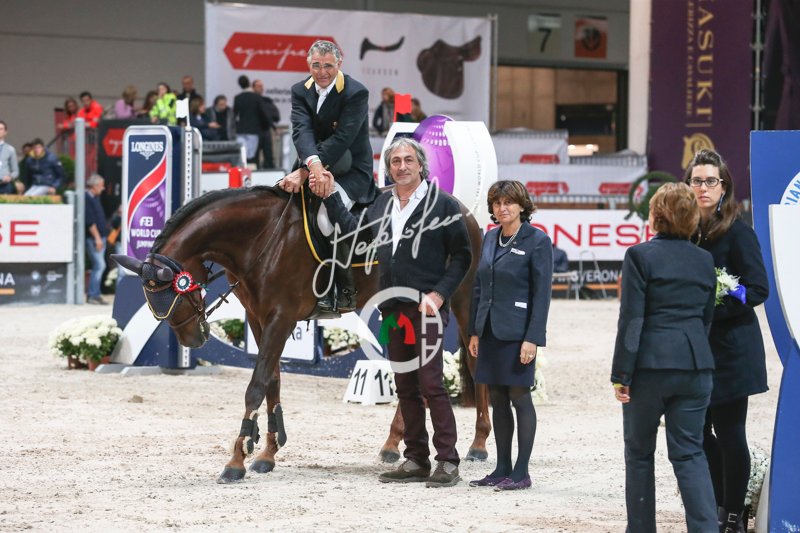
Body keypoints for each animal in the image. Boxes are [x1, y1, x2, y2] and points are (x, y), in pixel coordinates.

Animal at [113, 185, 490, 483]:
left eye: (176, 294)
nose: (192, 340)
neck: (262, 236)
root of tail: (464, 211)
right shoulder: (259, 318)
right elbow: (273, 381)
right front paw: (267, 451)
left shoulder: (281, 317)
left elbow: (256, 385)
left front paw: (237, 459)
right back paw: (392, 445)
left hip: (462, 300)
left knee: (474, 362)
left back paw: (479, 444)